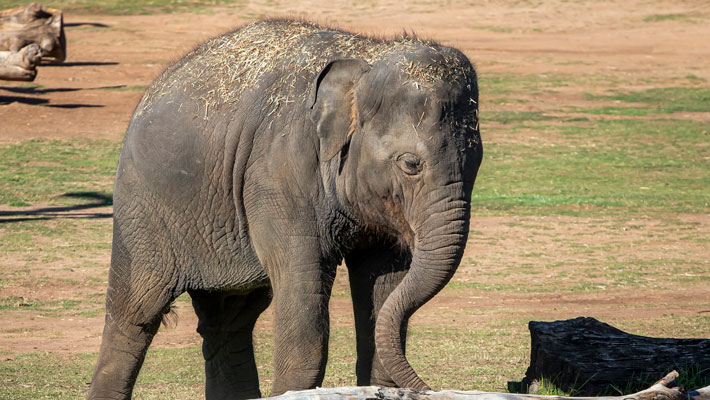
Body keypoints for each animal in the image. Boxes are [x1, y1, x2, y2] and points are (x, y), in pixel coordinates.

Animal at [87, 19, 482, 400]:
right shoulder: (278, 176)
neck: (364, 59)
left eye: (477, 161)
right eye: (411, 164)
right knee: (135, 312)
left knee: (230, 317)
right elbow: (304, 303)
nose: (429, 387)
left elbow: (384, 285)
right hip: (142, 207)